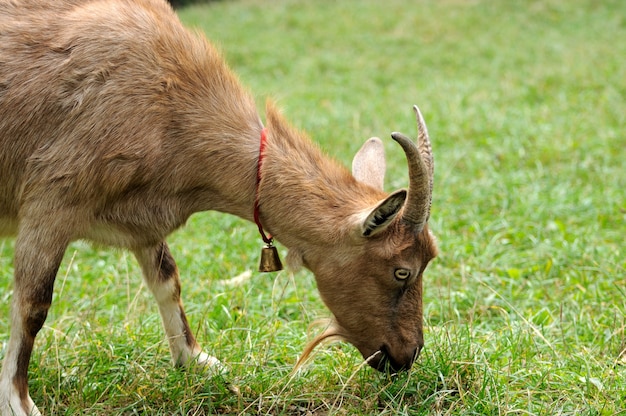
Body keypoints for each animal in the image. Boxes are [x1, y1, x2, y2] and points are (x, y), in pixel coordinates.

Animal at [0, 0, 436, 414]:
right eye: (402, 271)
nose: (407, 354)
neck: (169, 103)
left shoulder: (141, 222)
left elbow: (167, 280)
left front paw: (196, 361)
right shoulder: (51, 205)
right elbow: (33, 305)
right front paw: (19, 401)